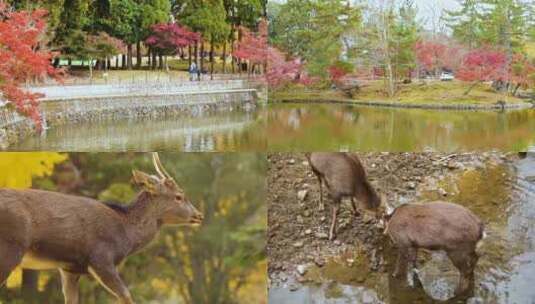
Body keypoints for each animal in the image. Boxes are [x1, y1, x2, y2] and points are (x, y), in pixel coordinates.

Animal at [0, 153, 203, 304]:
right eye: (178, 196)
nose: (199, 215)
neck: (126, 234)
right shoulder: (101, 258)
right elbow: (126, 295)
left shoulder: (70, 268)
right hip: (11, 247)